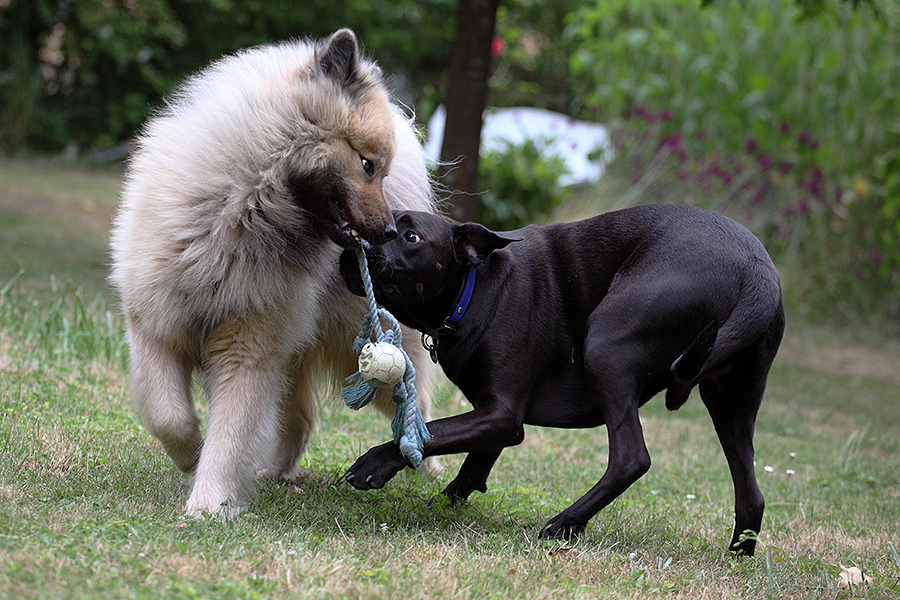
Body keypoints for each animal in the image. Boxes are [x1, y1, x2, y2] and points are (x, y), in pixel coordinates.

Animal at [109, 29, 440, 516]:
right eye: (367, 165)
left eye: (380, 170)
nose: (390, 231)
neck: (242, 210)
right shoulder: (156, 326)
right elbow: (169, 415)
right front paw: (190, 456)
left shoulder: (246, 349)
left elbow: (230, 433)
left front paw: (208, 504)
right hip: (293, 353)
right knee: (300, 419)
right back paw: (276, 472)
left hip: (359, 355)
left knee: (415, 403)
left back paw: (429, 464)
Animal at [342, 206, 784, 556]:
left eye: (411, 236)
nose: (354, 239)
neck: (475, 288)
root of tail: (757, 272)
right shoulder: (495, 415)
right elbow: (472, 463)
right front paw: (446, 503)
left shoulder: (502, 414)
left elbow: (430, 433)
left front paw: (375, 464)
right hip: (731, 403)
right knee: (752, 496)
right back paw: (738, 556)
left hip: (607, 344)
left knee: (631, 459)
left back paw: (565, 523)